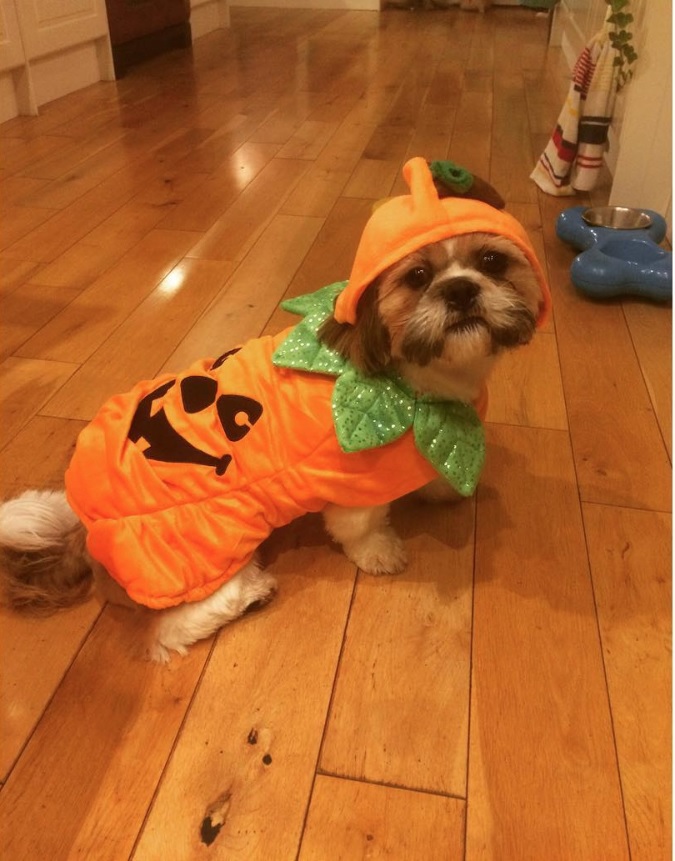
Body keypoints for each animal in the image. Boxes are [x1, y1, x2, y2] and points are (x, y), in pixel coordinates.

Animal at [0, 158, 548, 660]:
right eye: (417, 276)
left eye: (493, 262)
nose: (460, 288)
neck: (415, 383)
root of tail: (84, 525)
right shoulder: (350, 485)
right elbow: (360, 527)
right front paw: (381, 552)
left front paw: (437, 486)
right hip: (205, 548)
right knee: (169, 631)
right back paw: (249, 594)